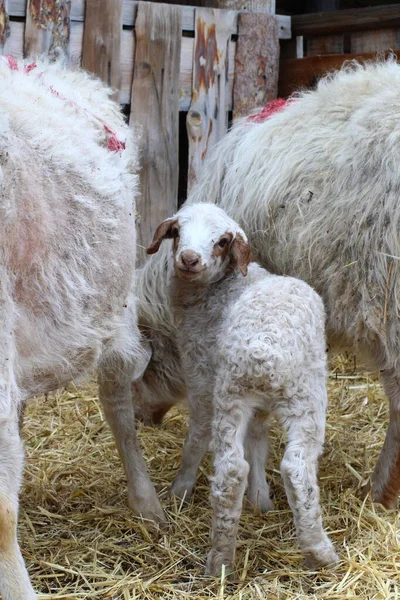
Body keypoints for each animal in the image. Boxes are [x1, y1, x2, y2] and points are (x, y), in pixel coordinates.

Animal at [145, 203, 340, 576]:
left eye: (222, 241)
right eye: (178, 231)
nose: (189, 259)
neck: (222, 288)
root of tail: (264, 349)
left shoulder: (201, 375)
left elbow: (200, 436)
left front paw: (180, 491)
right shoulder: (252, 402)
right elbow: (257, 441)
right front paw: (261, 499)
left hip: (239, 394)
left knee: (242, 470)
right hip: (289, 396)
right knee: (281, 468)